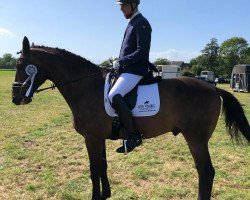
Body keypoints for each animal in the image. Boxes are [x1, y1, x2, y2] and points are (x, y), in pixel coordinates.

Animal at [12, 36, 250, 199]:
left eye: (20, 65)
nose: (15, 98)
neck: (86, 87)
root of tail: (213, 88)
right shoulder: (99, 138)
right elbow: (102, 167)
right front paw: (106, 195)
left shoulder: (91, 138)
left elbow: (94, 170)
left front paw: (96, 196)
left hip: (196, 139)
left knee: (206, 172)